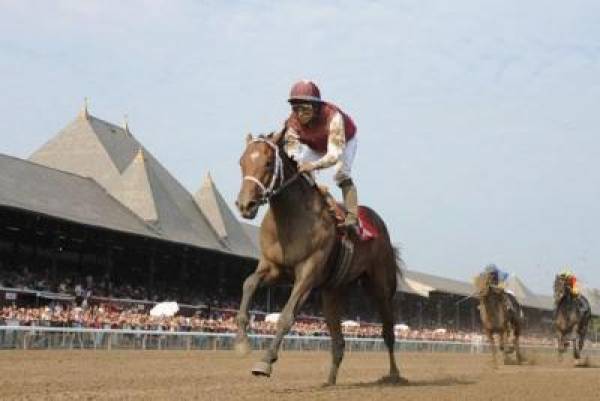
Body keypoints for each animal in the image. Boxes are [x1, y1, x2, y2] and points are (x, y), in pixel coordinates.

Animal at [233, 131, 404, 384]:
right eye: (242, 162)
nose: (245, 205)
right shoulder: (273, 267)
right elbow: (249, 283)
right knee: (338, 341)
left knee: (388, 330)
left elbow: (286, 316)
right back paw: (329, 381)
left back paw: (394, 375)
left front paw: (265, 362)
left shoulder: (308, 272)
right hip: (332, 291)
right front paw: (242, 343)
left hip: (380, 286)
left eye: (268, 163)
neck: (292, 218)